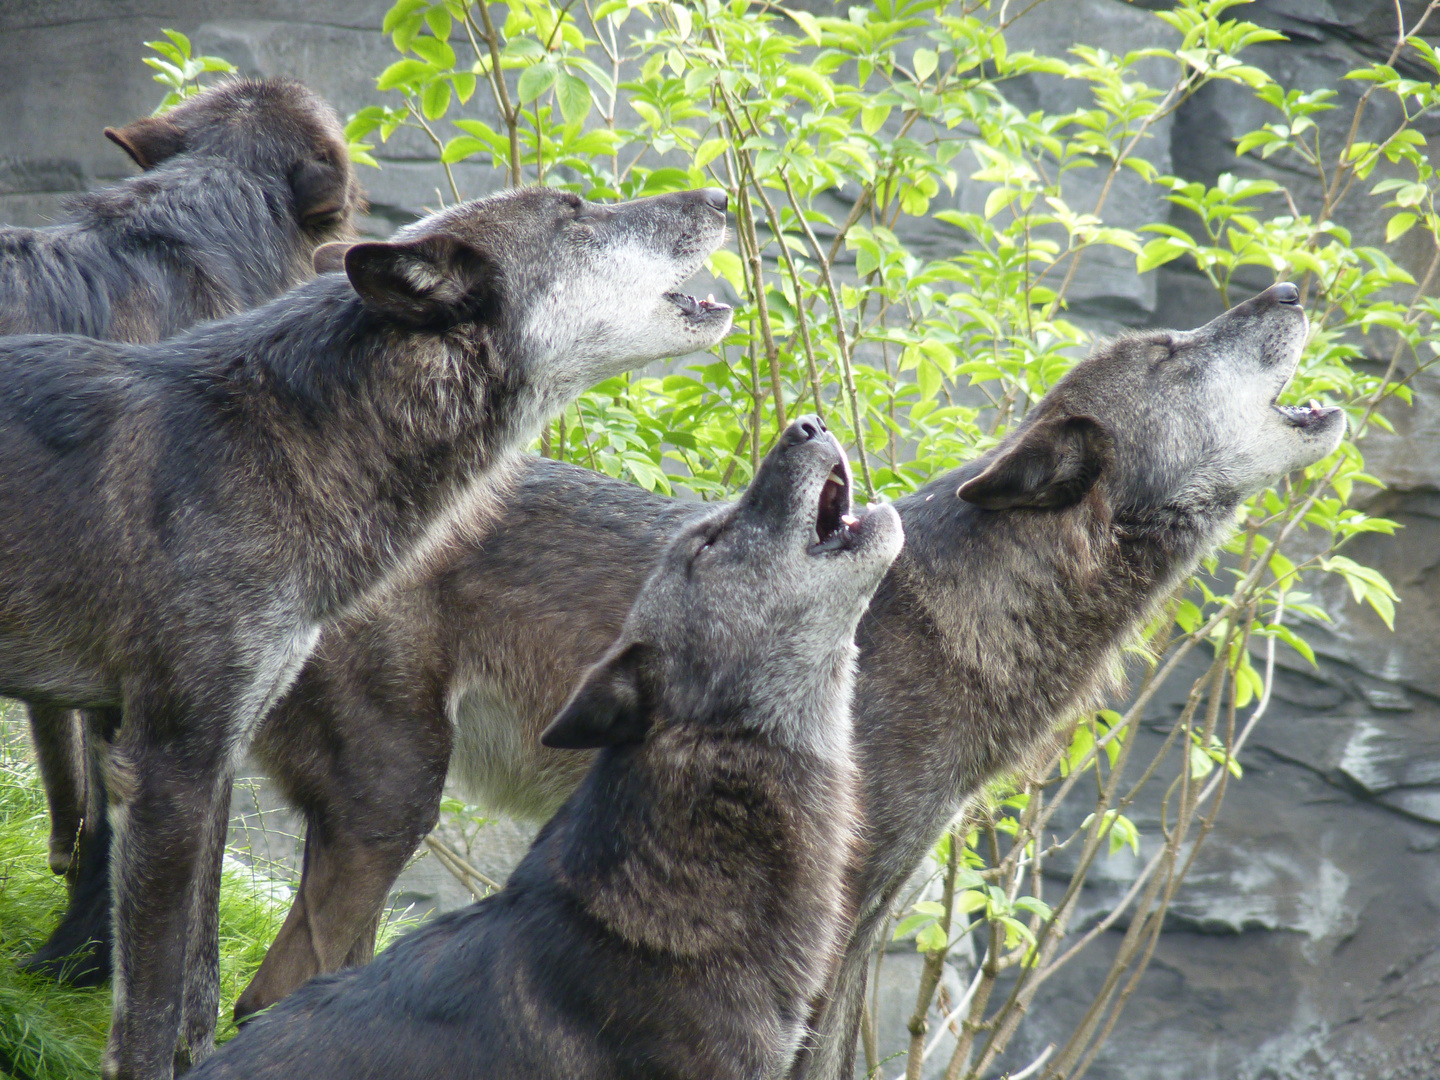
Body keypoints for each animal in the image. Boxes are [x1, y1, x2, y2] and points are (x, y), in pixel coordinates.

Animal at [0, 188, 731, 1080]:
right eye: (575, 215)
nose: (720, 197)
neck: (275, 440)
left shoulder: (207, 761)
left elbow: (197, 993)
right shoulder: (169, 765)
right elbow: (151, 1014)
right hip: (393, 791)